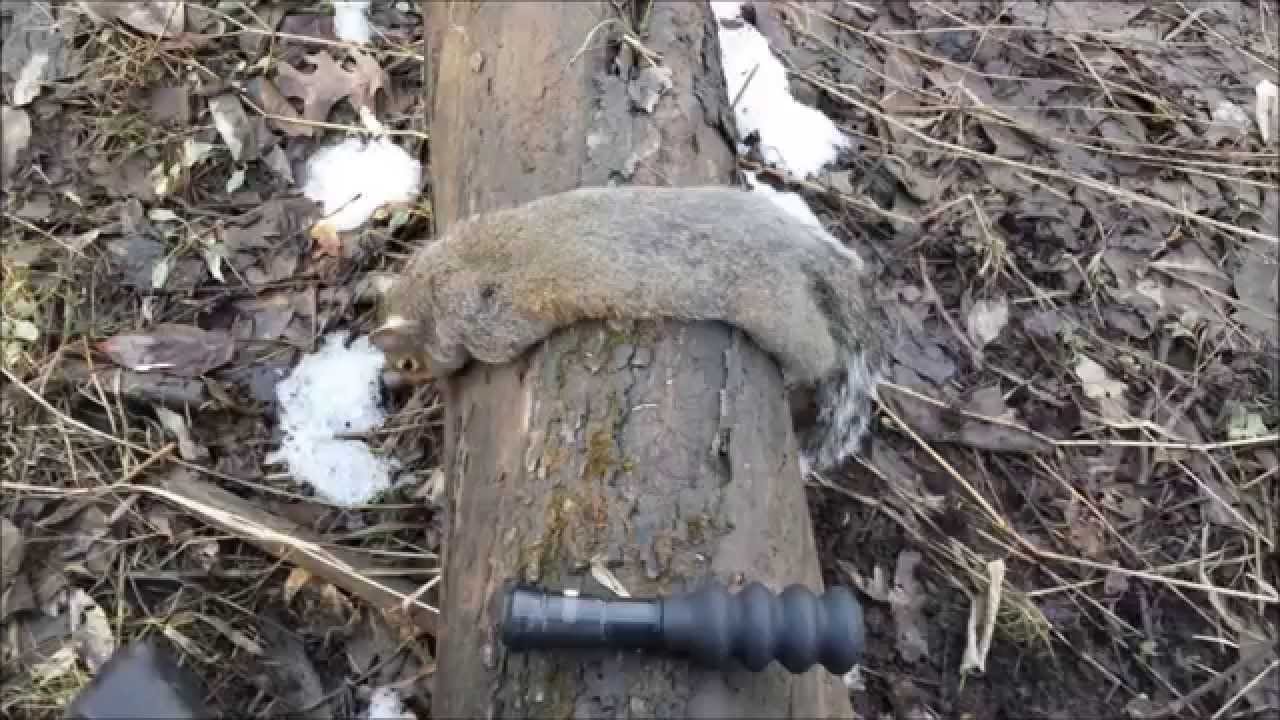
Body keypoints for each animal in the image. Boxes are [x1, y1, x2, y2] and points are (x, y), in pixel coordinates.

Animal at [369, 185, 887, 473]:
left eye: (407, 362)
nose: (388, 383)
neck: (437, 283)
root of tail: (796, 243)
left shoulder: (493, 325)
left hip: (777, 311)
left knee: (818, 352)